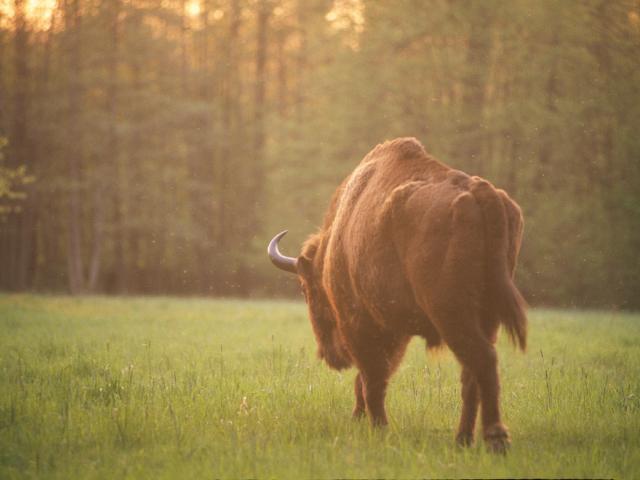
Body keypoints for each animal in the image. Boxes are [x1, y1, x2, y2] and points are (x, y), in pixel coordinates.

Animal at [268, 137, 527, 452]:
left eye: (306, 289)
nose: (329, 355)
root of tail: (480, 191)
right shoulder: (394, 332)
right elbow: (374, 377)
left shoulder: (362, 324)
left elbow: (372, 378)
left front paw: (378, 428)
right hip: (487, 316)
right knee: (471, 375)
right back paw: (462, 439)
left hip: (450, 313)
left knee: (482, 360)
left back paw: (494, 439)